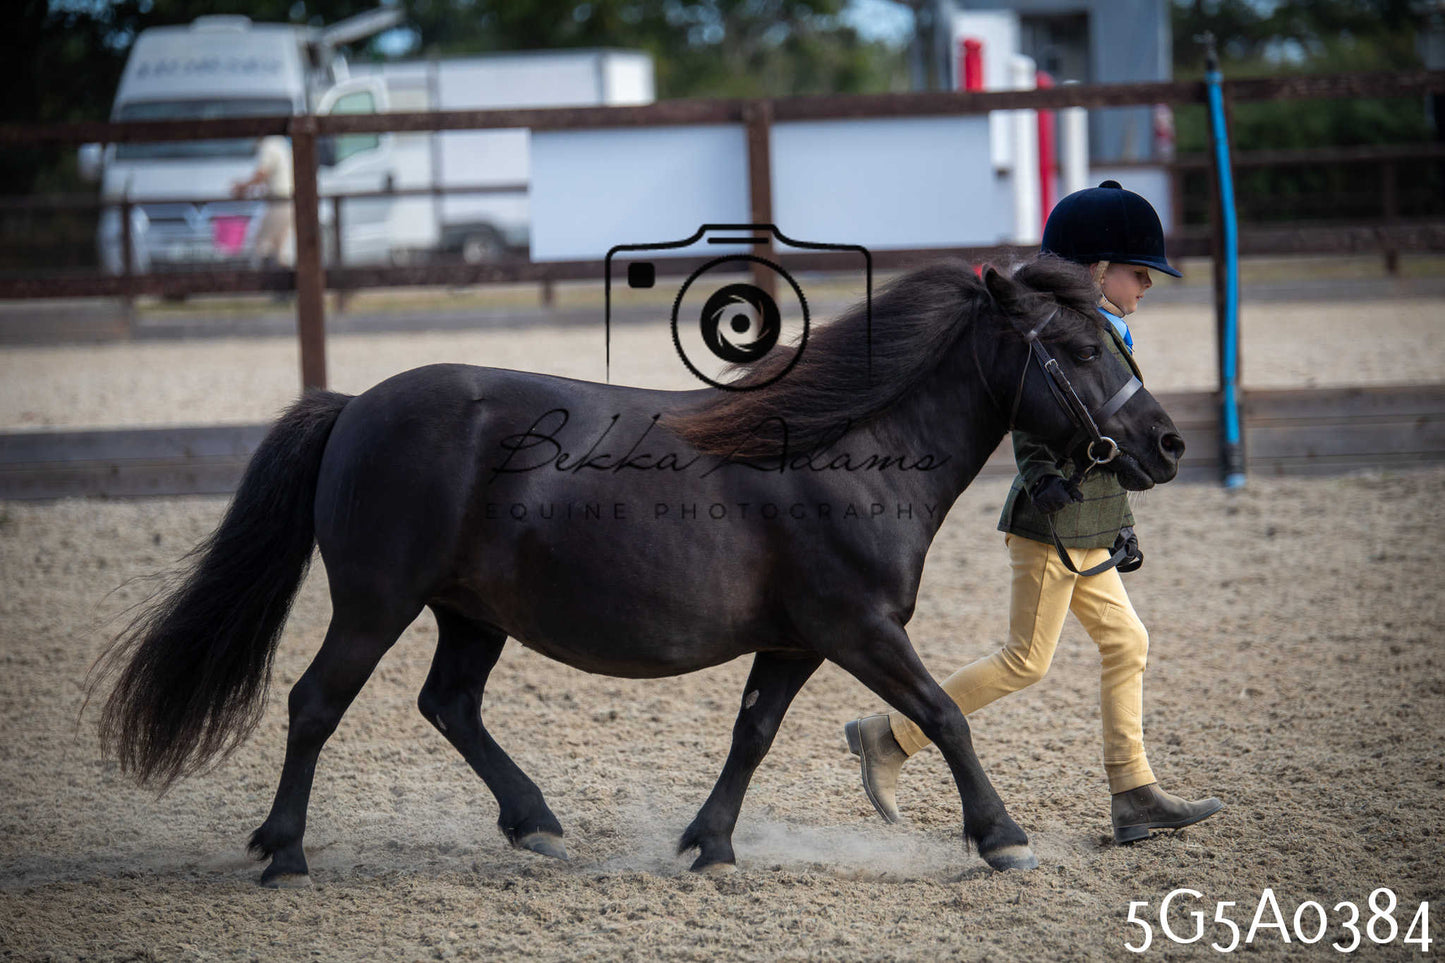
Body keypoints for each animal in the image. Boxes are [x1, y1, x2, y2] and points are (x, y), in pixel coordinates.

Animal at [90, 256, 1184, 886]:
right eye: (1079, 344)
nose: (1166, 444)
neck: (844, 453)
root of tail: (356, 404)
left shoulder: (797, 642)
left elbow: (752, 734)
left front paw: (709, 845)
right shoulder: (859, 629)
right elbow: (945, 715)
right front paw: (1000, 837)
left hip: (468, 614)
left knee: (448, 706)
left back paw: (535, 825)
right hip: (374, 603)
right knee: (315, 703)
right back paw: (284, 851)